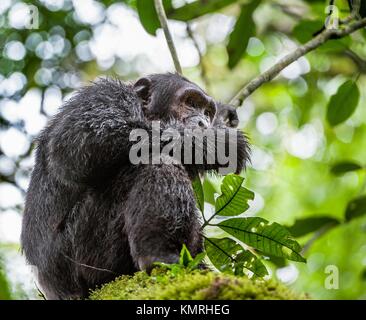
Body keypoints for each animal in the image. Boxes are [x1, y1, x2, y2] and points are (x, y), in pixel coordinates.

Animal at [21, 74, 250, 298]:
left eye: (207, 112)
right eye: (191, 103)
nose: (203, 122)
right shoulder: (102, 95)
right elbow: (81, 138)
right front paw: (216, 140)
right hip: (86, 254)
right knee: (157, 161)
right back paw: (158, 256)